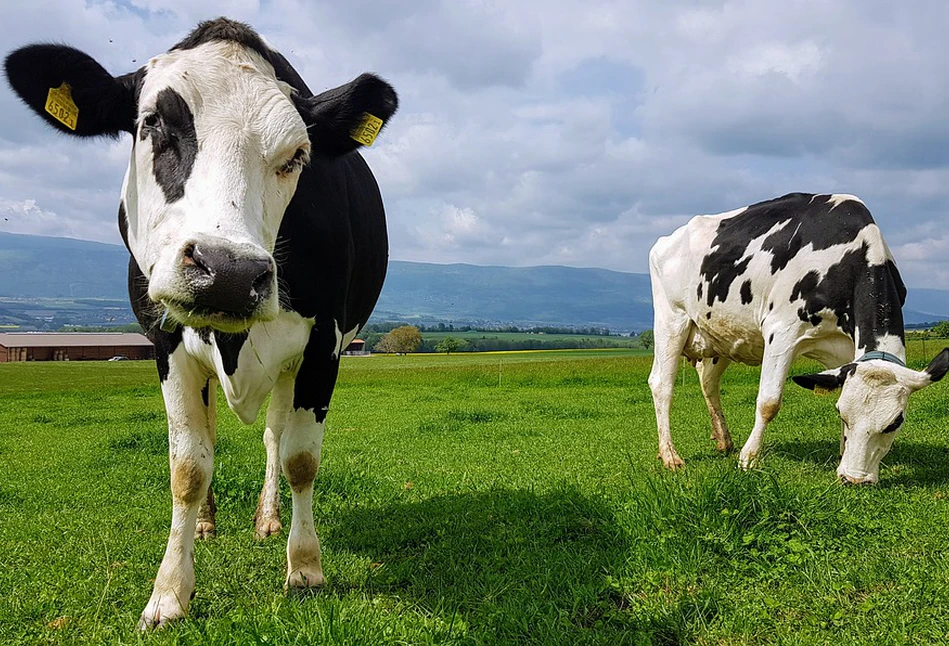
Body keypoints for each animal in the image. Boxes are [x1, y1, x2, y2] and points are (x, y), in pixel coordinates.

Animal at [4, 17, 396, 632]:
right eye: (152, 123)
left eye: (298, 154)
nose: (229, 272)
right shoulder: (165, 342)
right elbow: (188, 466)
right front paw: (169, 592)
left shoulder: (324, 344)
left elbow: (300, 459)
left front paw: (305, 569)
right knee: (212, 437)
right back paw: (210, 522)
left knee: (273, 436)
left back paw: (267, 520)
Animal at [648, 192, 944, 486]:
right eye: (843, 413)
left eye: (895, 422)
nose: (854, 479)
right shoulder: (781, 330)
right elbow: (768, 402)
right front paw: (748, 459)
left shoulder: (846, 351)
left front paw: (841, 453)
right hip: (671, 320)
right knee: (661, 384)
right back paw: (670, 456)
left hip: (720, 336)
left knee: (708, 381)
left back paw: (723, 440)